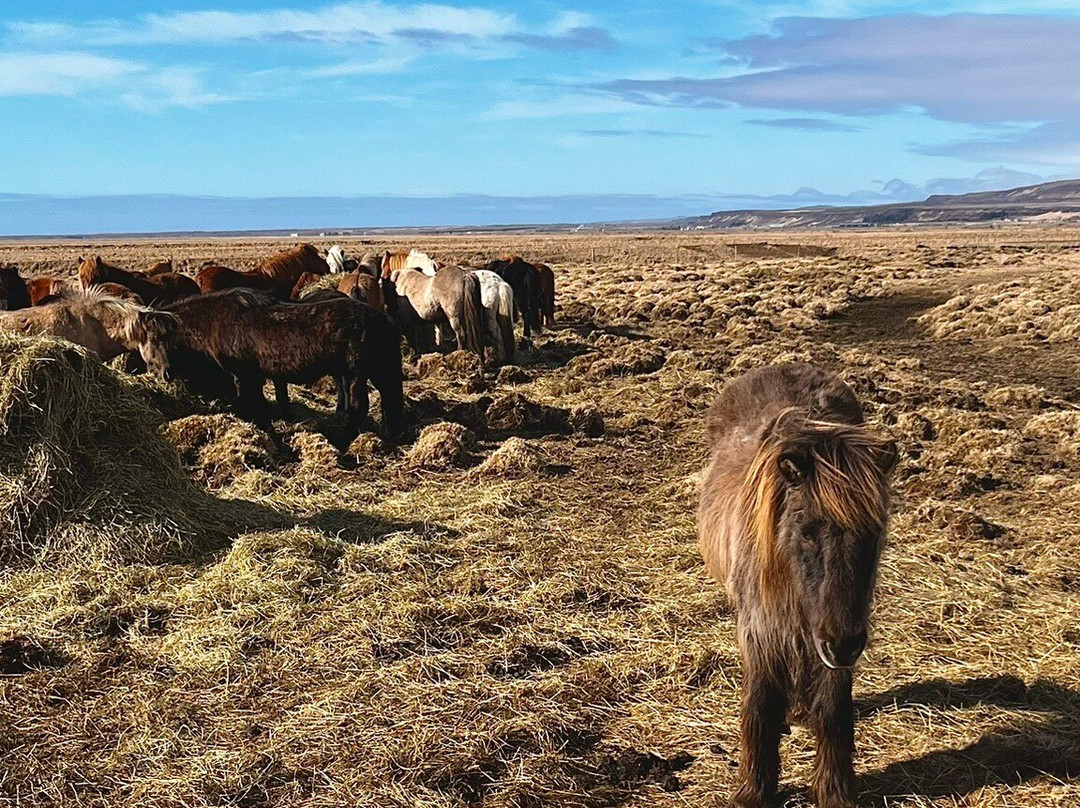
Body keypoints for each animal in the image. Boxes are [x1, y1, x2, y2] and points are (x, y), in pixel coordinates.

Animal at [165, 289, 404, 438]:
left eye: (161, 338)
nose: (165, 374)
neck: (217, 318)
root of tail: (383, 320)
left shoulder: (243, 375)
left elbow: (250, 403)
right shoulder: (253, 376)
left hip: (356, 372)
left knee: (359, 406)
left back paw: (341, 441)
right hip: (375, 371)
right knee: (389, 398)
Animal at [697, 363, 897, 808]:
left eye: (874, 532)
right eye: (806, 530)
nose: (842, 645)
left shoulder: (836, 639)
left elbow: (833, 710)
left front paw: (834, 790)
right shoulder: (760, 629)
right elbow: (760, 705)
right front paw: (754, 790)